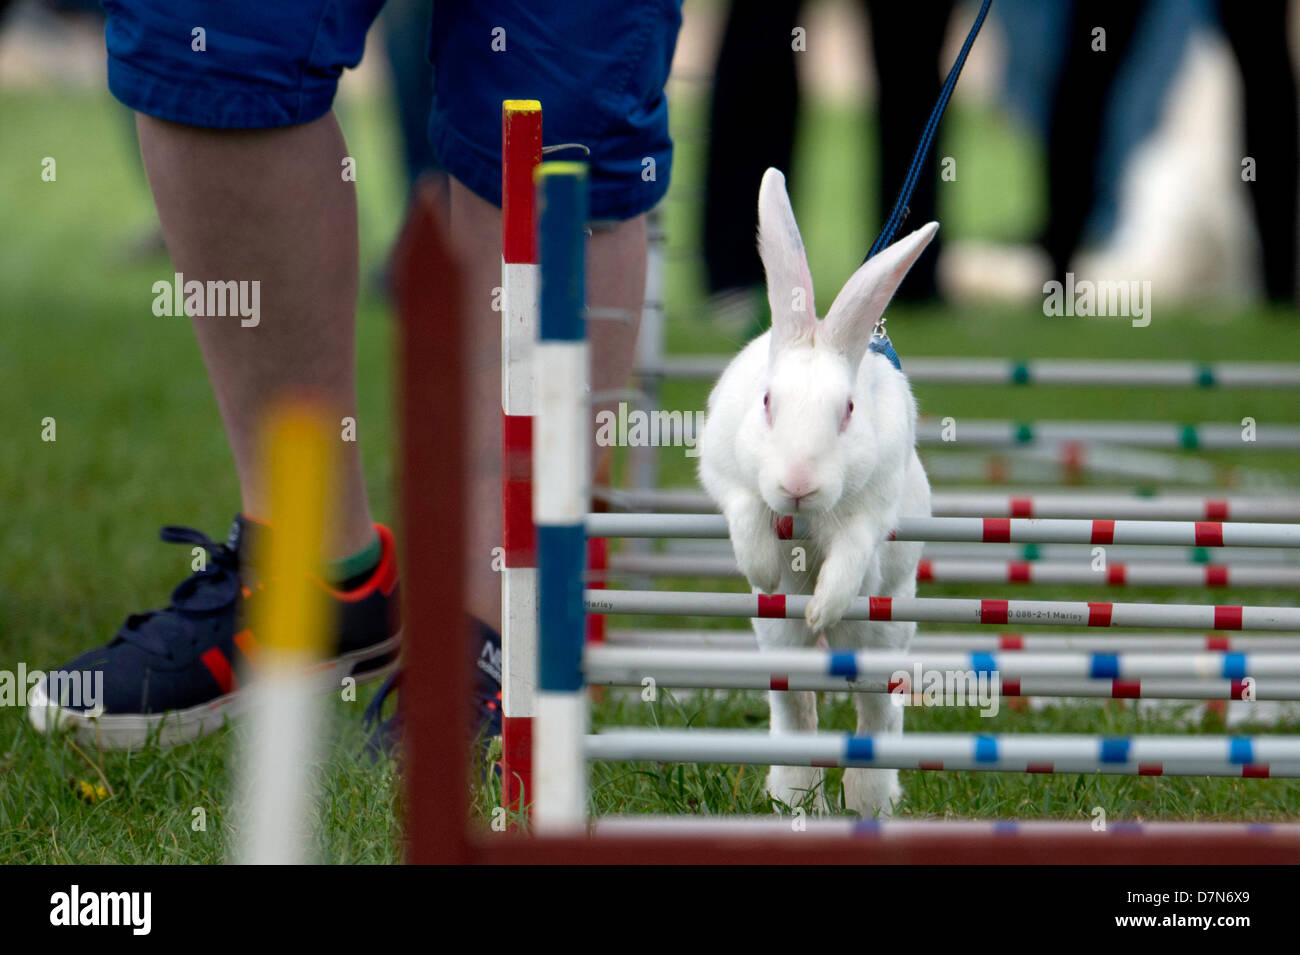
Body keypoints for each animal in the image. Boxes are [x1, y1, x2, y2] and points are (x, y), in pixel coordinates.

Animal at [702, 167, 935, 815]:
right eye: (766, 401)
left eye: (848, 410)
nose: (798, 484)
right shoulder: (728, 476)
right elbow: (745, 513)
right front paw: (763, 569)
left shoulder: (869, 515)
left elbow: (850, 554)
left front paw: (821, 605)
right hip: (775, 638)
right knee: (794, 704)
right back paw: (797, 799)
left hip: (883, 628)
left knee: (878, 709)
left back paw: (868, 802)